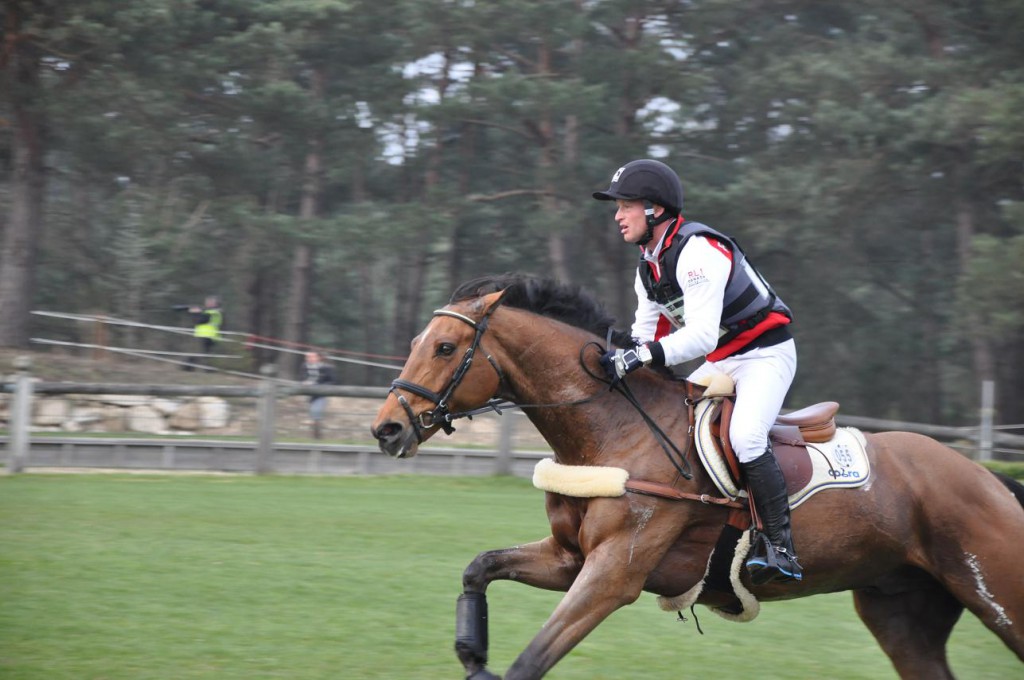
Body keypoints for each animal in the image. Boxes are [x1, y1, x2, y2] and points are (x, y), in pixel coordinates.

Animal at [370, 274, 1024, 680]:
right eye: (416, 341)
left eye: (446, 347)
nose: (387, 429)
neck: (612, 432)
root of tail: (989, 478)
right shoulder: (569, 560)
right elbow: (479, 568)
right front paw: (471, 654)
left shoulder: (613, 576)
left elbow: (530, 660)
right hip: (900, 612)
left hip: (999, 597)